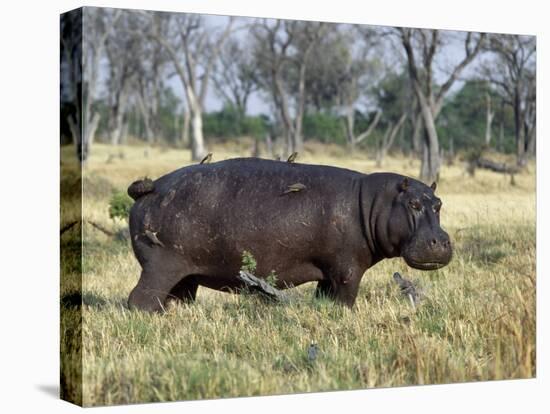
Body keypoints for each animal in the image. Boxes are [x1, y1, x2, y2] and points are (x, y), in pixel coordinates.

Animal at [128, 158, 452, 310]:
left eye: (438, 203)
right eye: (413, 204)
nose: (441, 241)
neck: (373, 203)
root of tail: (151, 187)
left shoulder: (328, 272)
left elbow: (325, 298)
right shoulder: (347, 269)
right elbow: (346, 299)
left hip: (186, 274)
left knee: (178, 297)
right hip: (161, 266)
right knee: (139, 299)